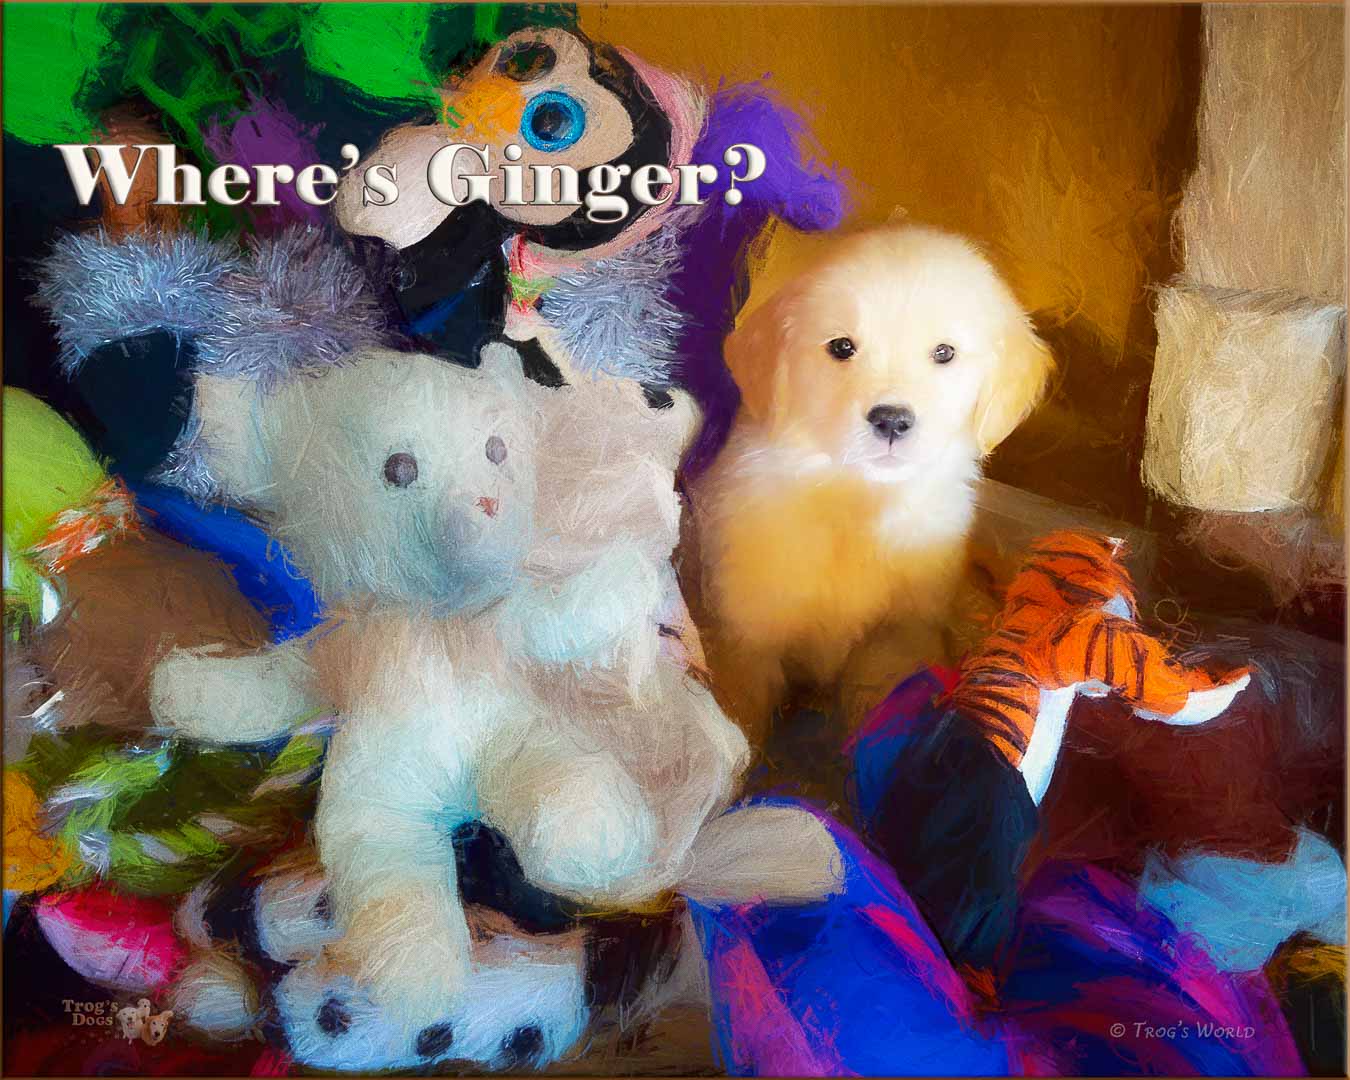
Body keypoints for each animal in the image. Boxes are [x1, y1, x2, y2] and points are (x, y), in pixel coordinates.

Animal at [691, 224, 1047, 739]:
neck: (854, 495)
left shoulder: (897, 638)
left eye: (944, 353)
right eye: (842, 347)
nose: (892, 420)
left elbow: (878, 705)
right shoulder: (747, 637)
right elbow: (741, 717)